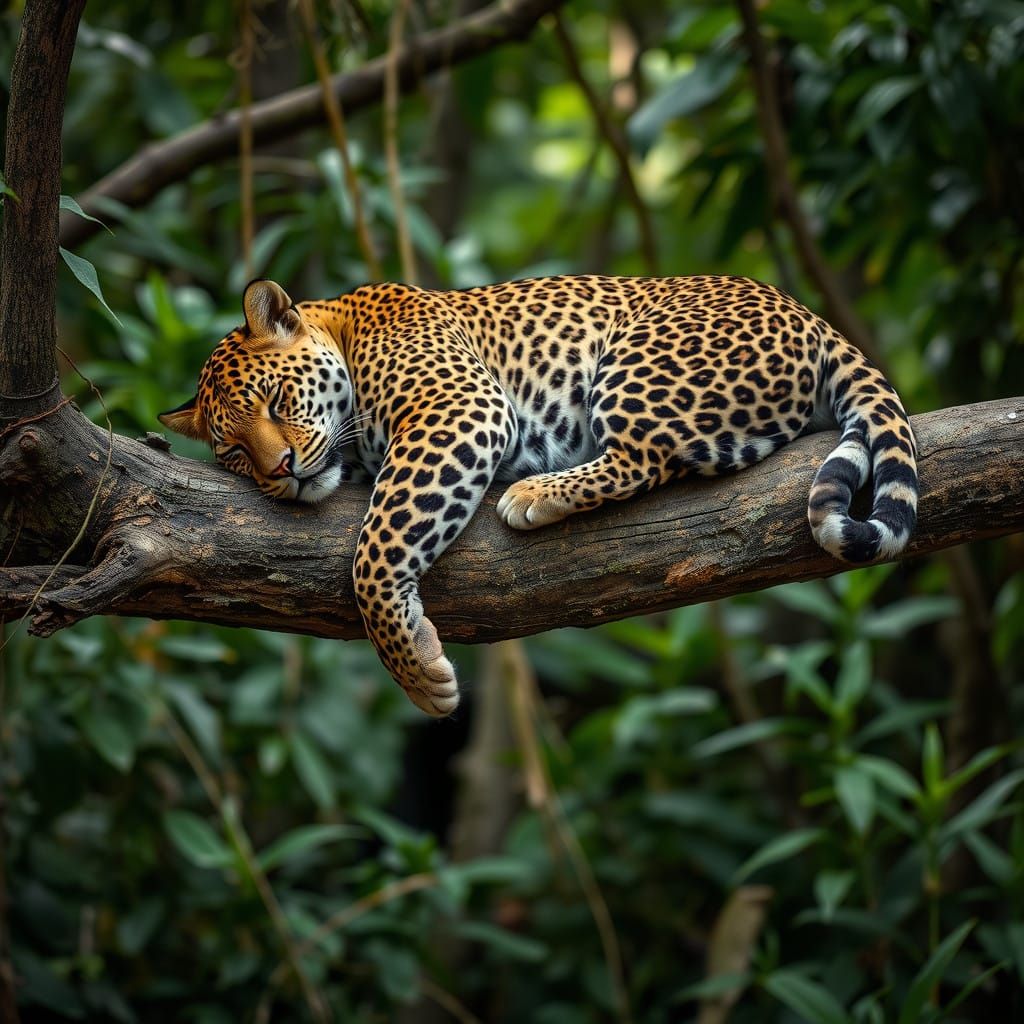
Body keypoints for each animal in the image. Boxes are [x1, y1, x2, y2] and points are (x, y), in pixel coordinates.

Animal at [160, 275, 918, 717]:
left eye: (275, 400)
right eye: (233, 452)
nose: (282, 469)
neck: (343, 325)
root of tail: (810, 316)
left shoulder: (456, 408)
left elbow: (375, 553)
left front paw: (420, 676)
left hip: (637, 362)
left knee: (648, 457)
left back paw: (536, 492)